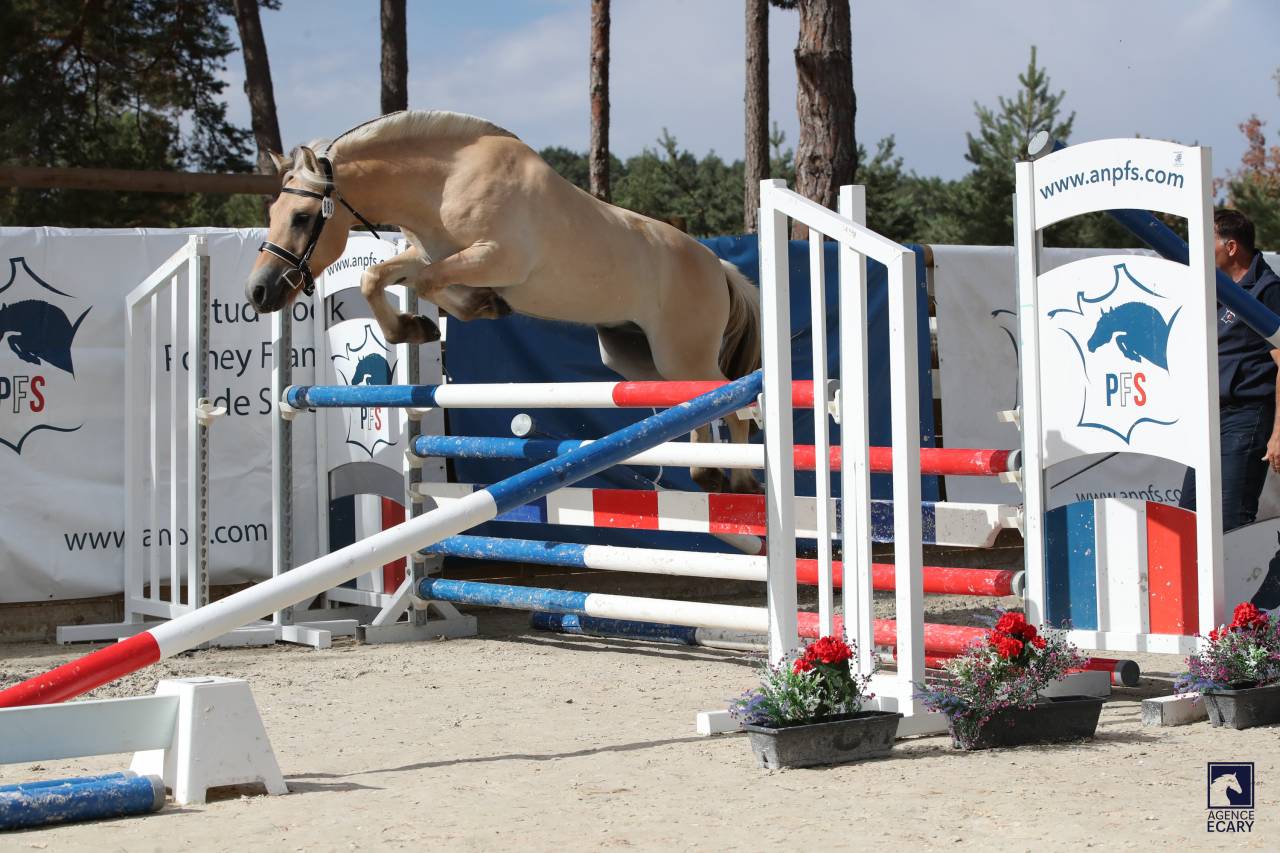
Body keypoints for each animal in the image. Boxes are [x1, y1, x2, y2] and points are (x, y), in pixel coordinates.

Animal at [245, 110, 761, 494]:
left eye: (301, 216)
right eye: (273, 212)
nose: (259, 292)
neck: (445, 181)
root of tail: (718, 266)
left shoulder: (494, 259)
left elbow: (432, 284)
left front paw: (479, 307)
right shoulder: (428, 253)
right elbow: (376, 277)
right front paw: (416, 328)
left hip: (681, 353)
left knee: (736, 398)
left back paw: (738, 477)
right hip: (637, 358)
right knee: (703, 400)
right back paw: (706, 472)